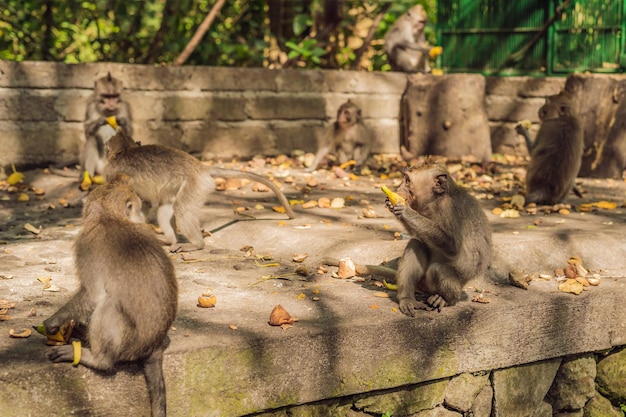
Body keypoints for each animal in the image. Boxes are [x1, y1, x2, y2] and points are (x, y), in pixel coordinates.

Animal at [43, 172, 176, 416]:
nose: (142, 215)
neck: (109, 216)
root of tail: (154, 346)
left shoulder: (86, 246)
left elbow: (92, 294)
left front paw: (54, 321)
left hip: (131, 343)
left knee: (109, 306)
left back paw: (99, 359)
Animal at [382, 158, 490, 314]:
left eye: (407, 181)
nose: (399, 187)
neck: (436, 201)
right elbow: (419, 237)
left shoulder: (451, 209)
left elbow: (453, 247)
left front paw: (406, 212)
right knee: (416, 244)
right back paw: (407, 298)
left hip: (454, 285)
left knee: (438, 270)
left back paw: (445, 299)